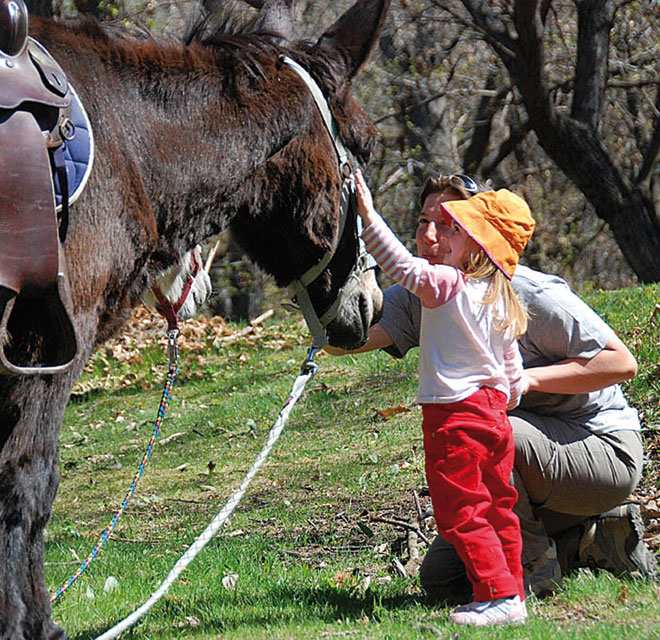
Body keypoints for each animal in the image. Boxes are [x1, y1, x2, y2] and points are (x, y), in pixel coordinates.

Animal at [0, 1, 386, 636]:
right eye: (366, 147)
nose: (370, 305)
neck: (124, 142)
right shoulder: (45, 352)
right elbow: (28, 479)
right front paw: (31, 624)